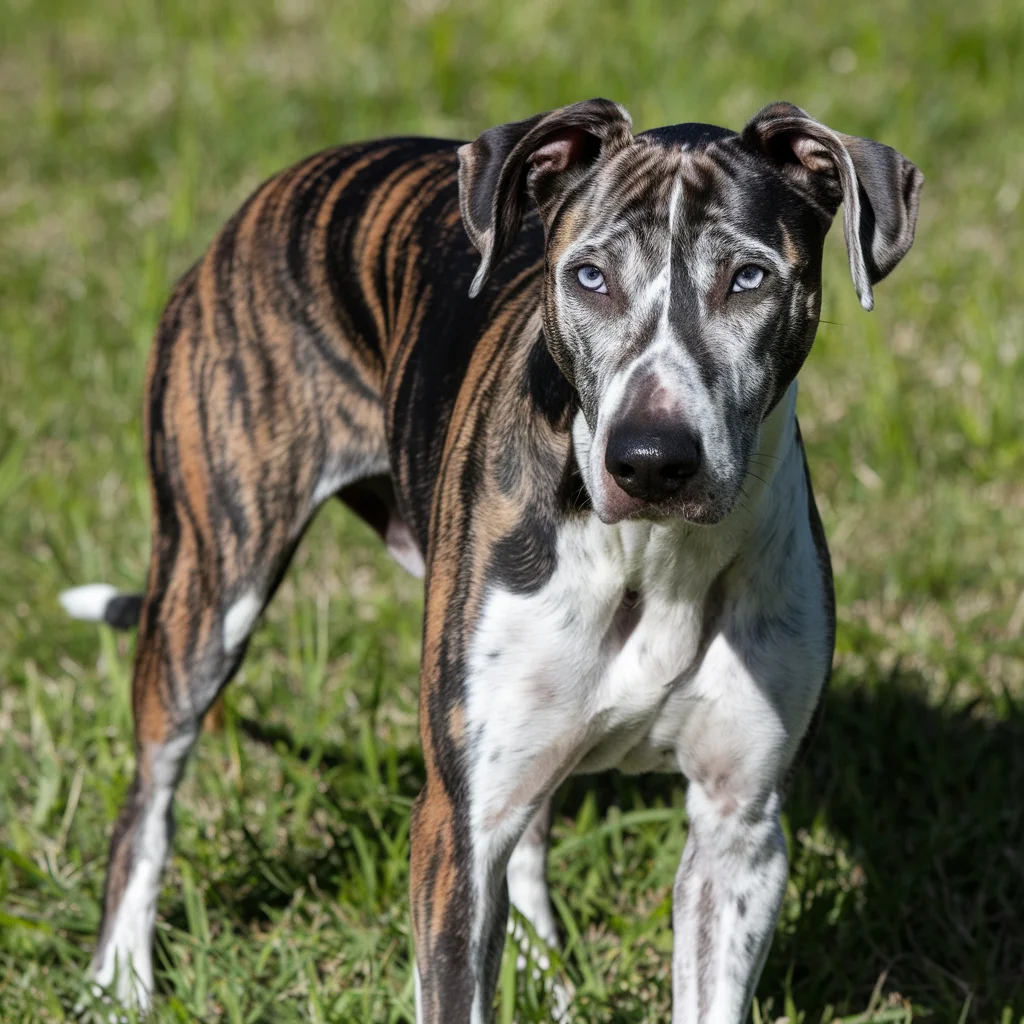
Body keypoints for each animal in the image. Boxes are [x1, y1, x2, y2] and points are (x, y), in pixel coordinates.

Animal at [64, 97, 925, 1024]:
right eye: (590, 277)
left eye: (750, 278)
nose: (650, 461)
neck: (652, 557)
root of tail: (265, 200)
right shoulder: (457, 827)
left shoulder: (740, 831)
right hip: (209, 586)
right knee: (150, 798)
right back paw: (119, 980)